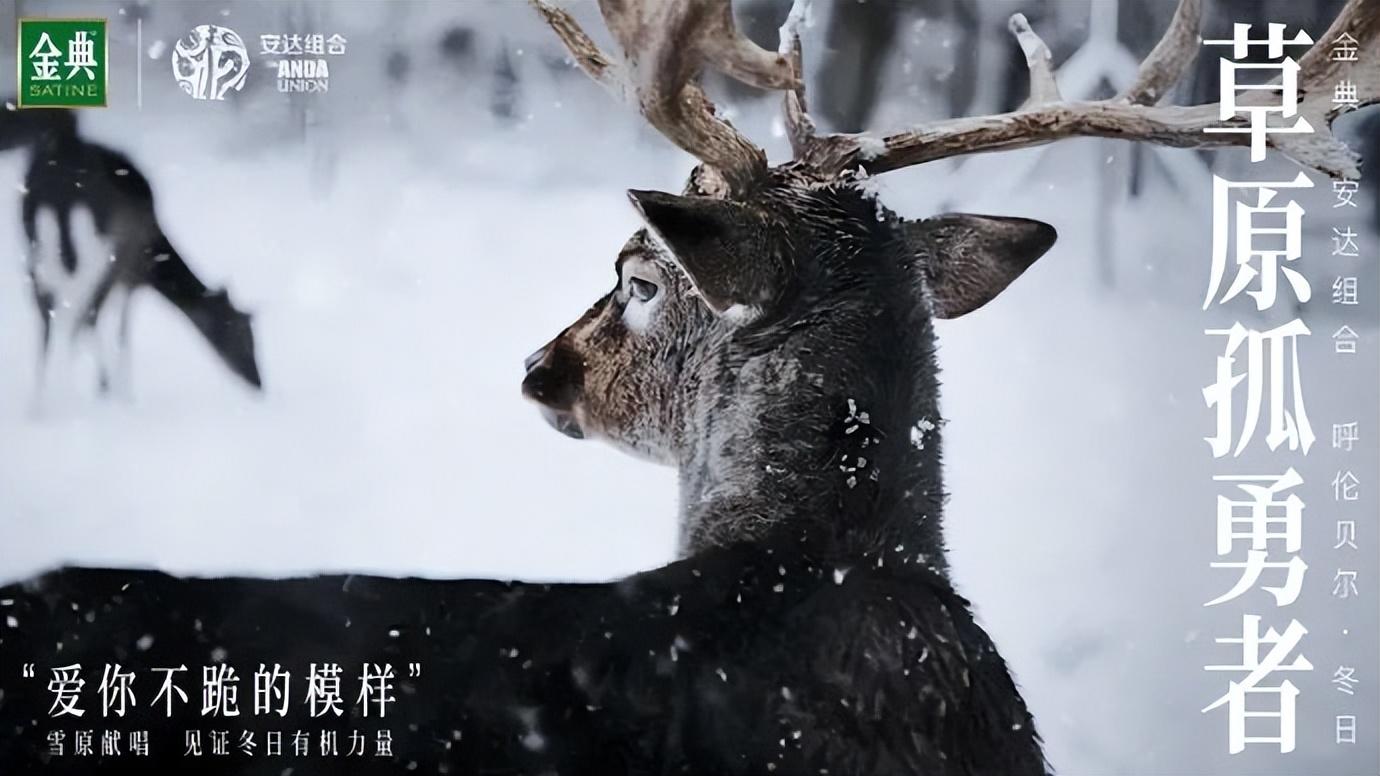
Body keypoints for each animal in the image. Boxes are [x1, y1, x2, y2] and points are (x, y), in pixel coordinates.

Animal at [0, 106, 262, 404]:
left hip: (38, 249)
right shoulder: (127, 275)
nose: (258, 383)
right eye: (242, 334)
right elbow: (117, 332)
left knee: (50, 315)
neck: (154, 260)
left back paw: (43, 402)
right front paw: (116, 392)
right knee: (75, 316)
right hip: (94, 252)